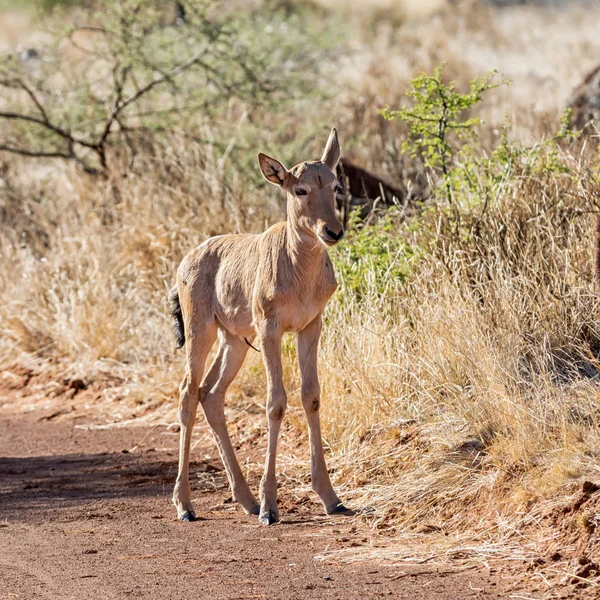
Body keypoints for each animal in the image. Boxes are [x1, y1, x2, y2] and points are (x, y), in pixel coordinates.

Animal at [169, 127, 350, 524]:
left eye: (334, 185)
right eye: (299, 189)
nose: (332, 231)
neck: (297, 266)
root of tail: (187, 260)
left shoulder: (310, 327)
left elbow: (311, 396)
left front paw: (332, 498)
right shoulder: (270, 329)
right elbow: (276, 402)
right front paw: (271, 507)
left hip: (234, 341)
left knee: (211, 393)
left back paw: (246, 499)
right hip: (202, 331)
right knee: (188, 392)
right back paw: (186, 505)